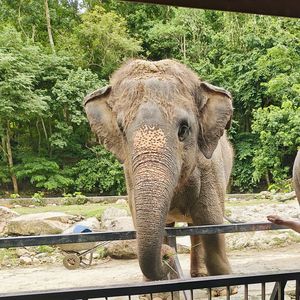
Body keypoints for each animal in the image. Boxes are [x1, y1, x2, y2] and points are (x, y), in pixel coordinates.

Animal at [83, 59, 236, 296]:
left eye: (183, 129)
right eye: (121, 130)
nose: (167, 256)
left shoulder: (211, 168)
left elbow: (211, 222)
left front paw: (224, 290)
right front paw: (153, 293)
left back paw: (200, 276)